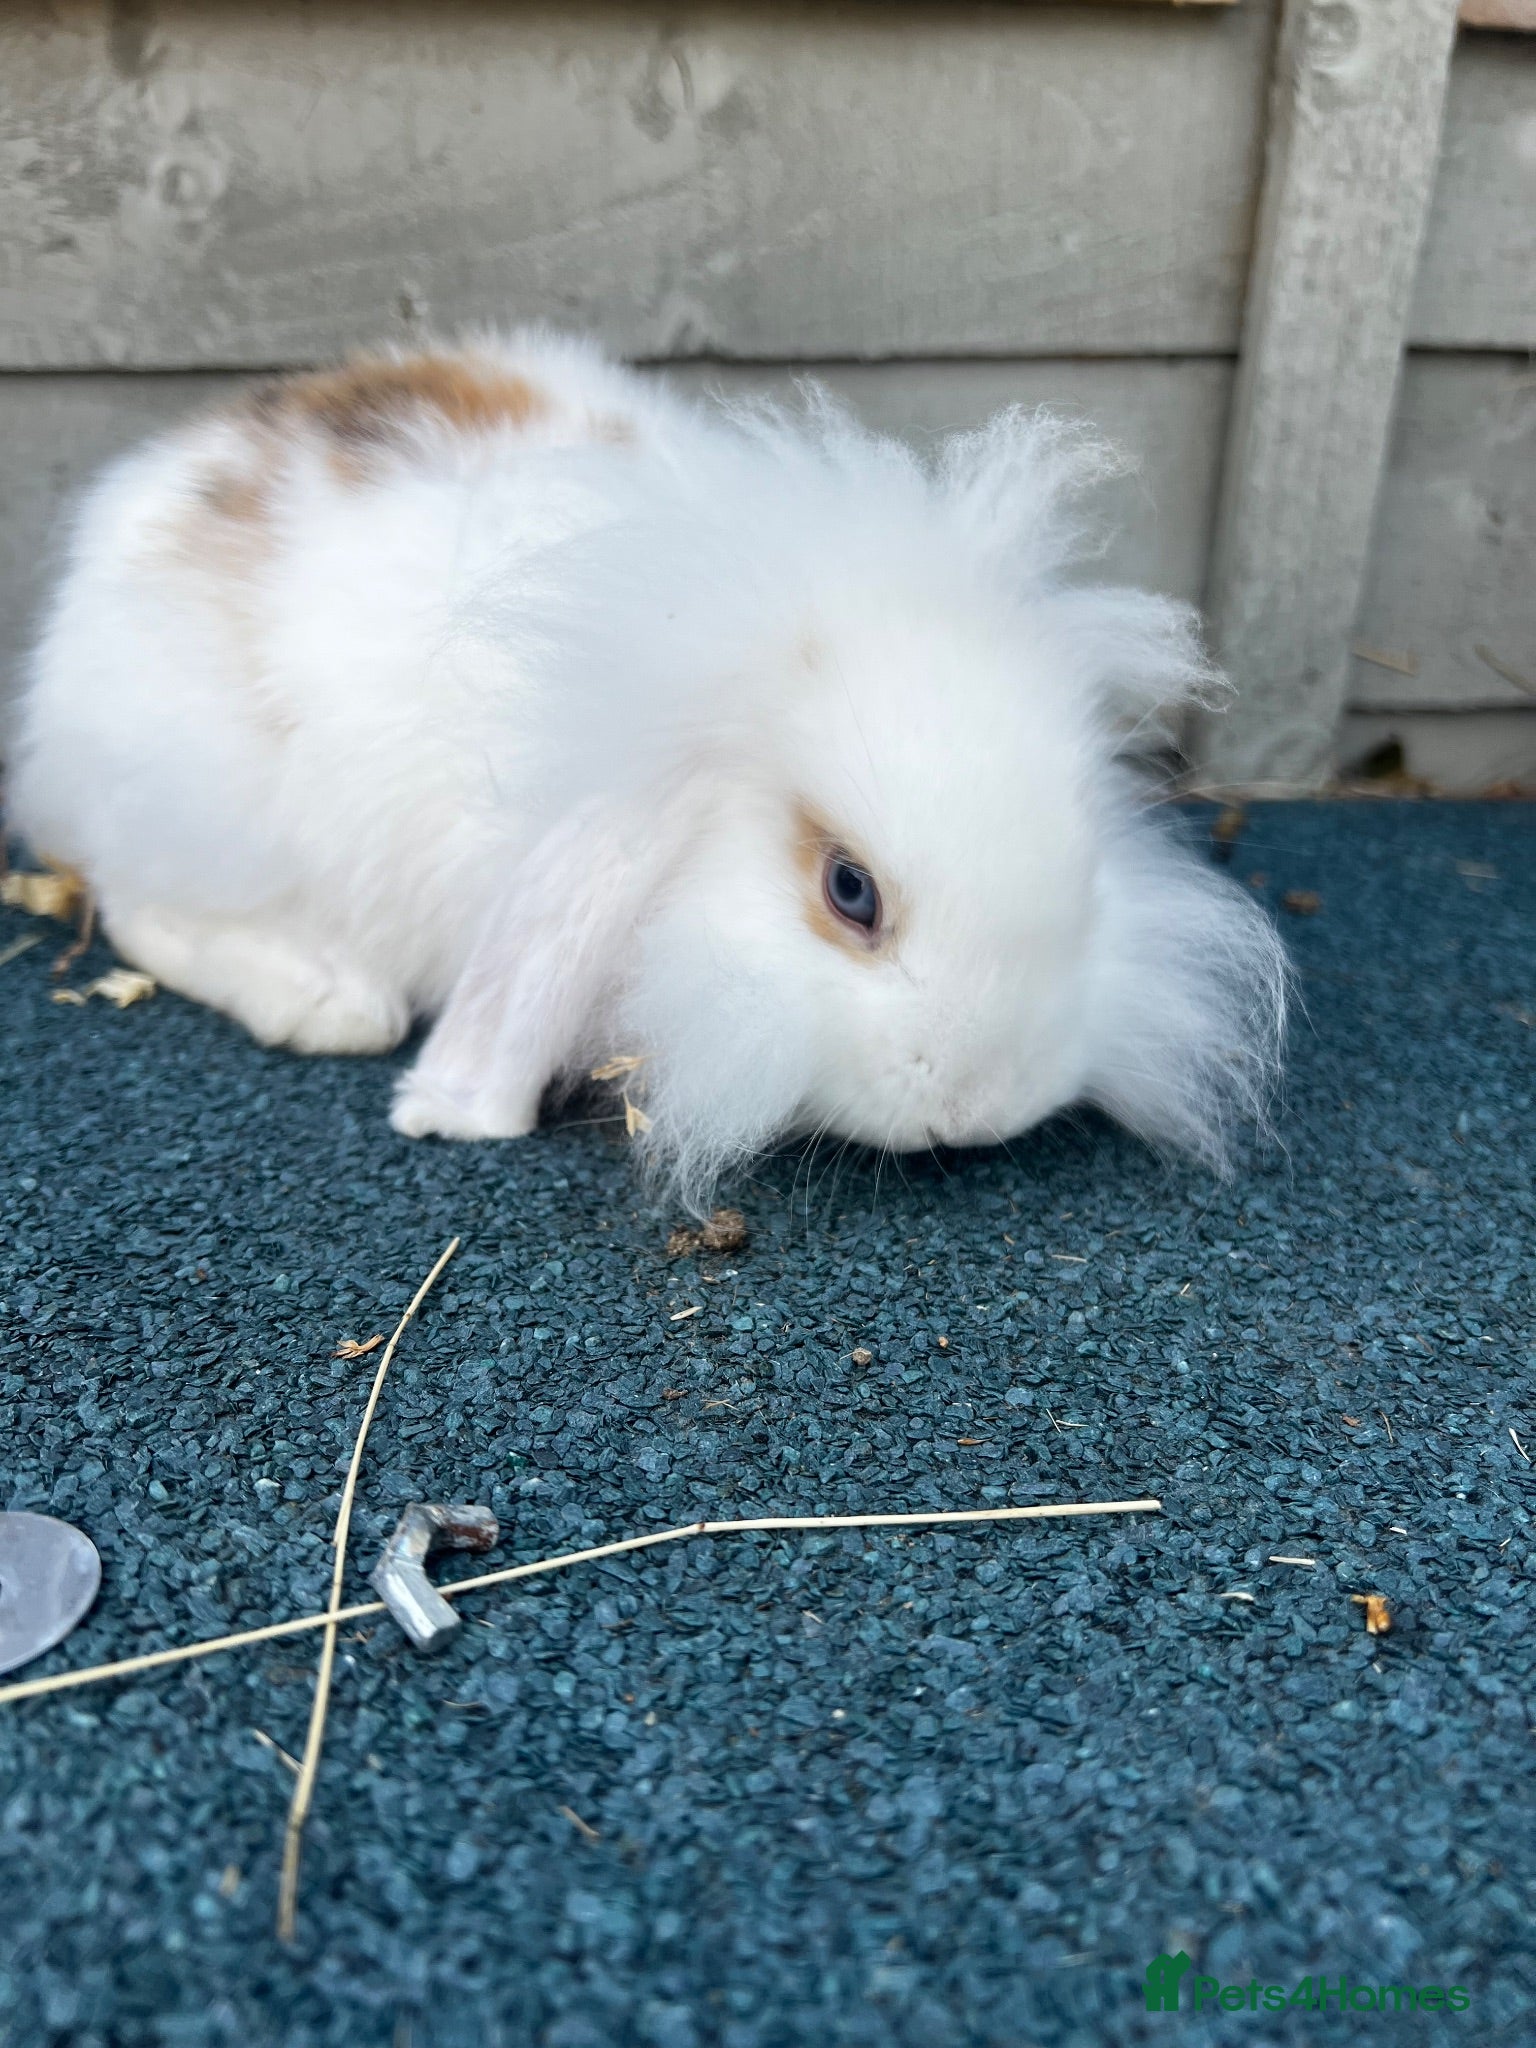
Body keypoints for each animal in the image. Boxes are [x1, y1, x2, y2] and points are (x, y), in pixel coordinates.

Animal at [7, 329, 1287, 1208]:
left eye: (1086, 868)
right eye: (850, 891)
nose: (982, 1105)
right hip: (208, 810)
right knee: (138, 905)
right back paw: (330, 999)